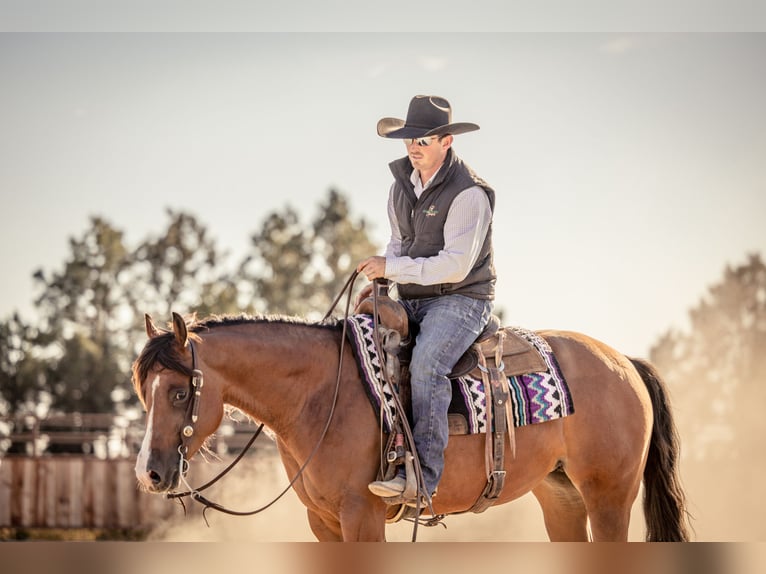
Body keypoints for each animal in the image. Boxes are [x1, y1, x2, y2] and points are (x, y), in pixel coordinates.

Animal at [130, 312, 688, 544]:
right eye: (142, 391)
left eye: (178, 392)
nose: (149, 475)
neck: (319, 394)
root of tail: (624, 362)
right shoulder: (322, 522)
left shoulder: (362, 515)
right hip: (561, 496)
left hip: (609, 496)